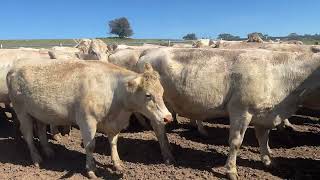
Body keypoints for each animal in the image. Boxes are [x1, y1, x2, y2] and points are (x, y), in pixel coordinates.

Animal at [6, 59, 174, 179]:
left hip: (39, 112)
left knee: (40, 130)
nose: (168, 117)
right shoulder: (87, 121)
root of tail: (13, 68)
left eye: (162, 92)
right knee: (28, 134)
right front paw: (91, 170)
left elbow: (113, 142)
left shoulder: (113, 124)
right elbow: (90, 146)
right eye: (148, 95)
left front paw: (117, 163)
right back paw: (36, 158)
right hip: (21, 111)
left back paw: (48, 151)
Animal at [135, 47, 320, 179]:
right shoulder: (241, 110)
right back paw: (168, 155)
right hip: (156, 103)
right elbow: (236, 142)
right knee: (159, 129)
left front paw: (268, 161)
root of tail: (148, 52)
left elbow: (263, 139)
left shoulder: (264, 114)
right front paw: (231, 170)